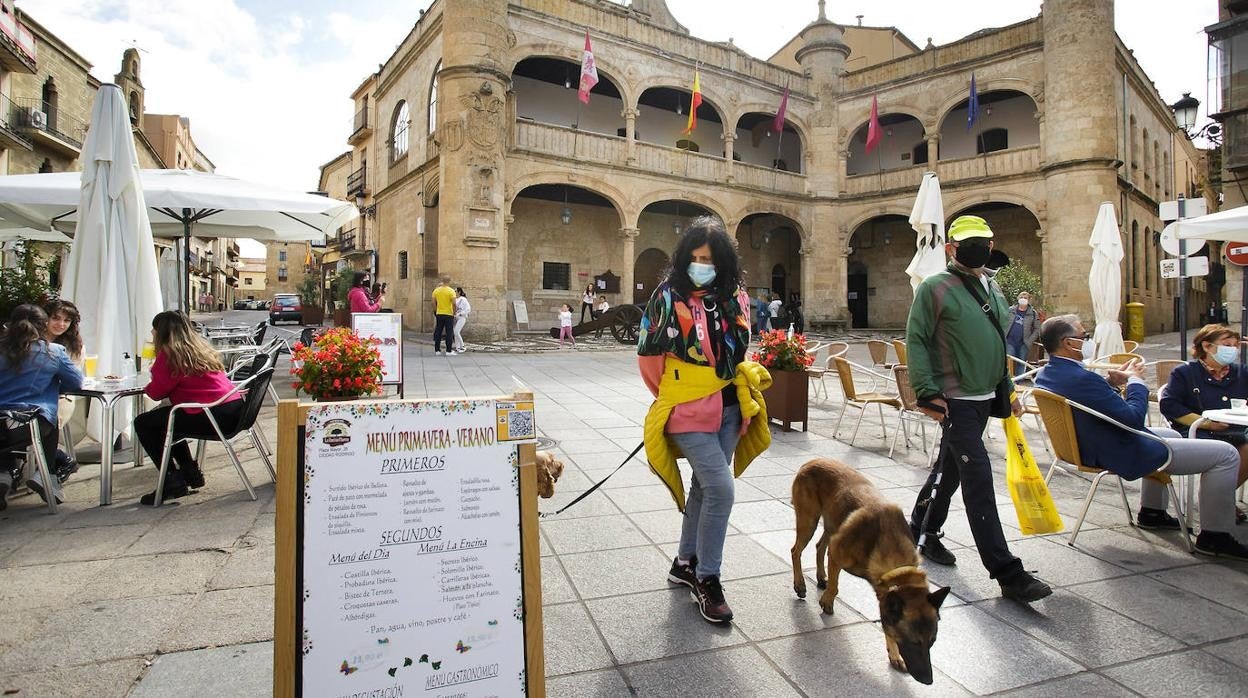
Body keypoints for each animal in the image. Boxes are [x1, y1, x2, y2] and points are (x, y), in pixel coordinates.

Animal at [793, 459, 948, 689]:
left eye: (933, 641)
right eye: (914, 642)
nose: (928, 681)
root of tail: (812, 461)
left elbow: (886, 623)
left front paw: (894, 654)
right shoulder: (837, 551)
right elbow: (835, 585)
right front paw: (827, 601)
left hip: (832, 523)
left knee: (820, 546)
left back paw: (820, 577)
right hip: (809, 521)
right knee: (796, 551)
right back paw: (800, 584)